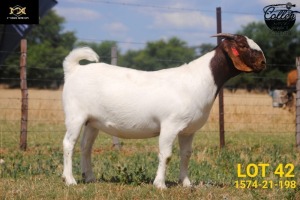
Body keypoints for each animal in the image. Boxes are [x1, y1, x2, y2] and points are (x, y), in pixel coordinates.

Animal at [62, 33, 266, 188]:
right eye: (242, 45)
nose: (263, 62)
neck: (198, 80)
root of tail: (73, 69)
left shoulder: (188, 130)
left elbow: (186, 154)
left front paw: (186, 183)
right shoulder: (170, 125)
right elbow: (166, 155)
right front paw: (160, 184)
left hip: (92, 121)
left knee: (85, 146)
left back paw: (89, 178)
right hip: (75, 116)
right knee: (68, 144)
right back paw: (70, 180)